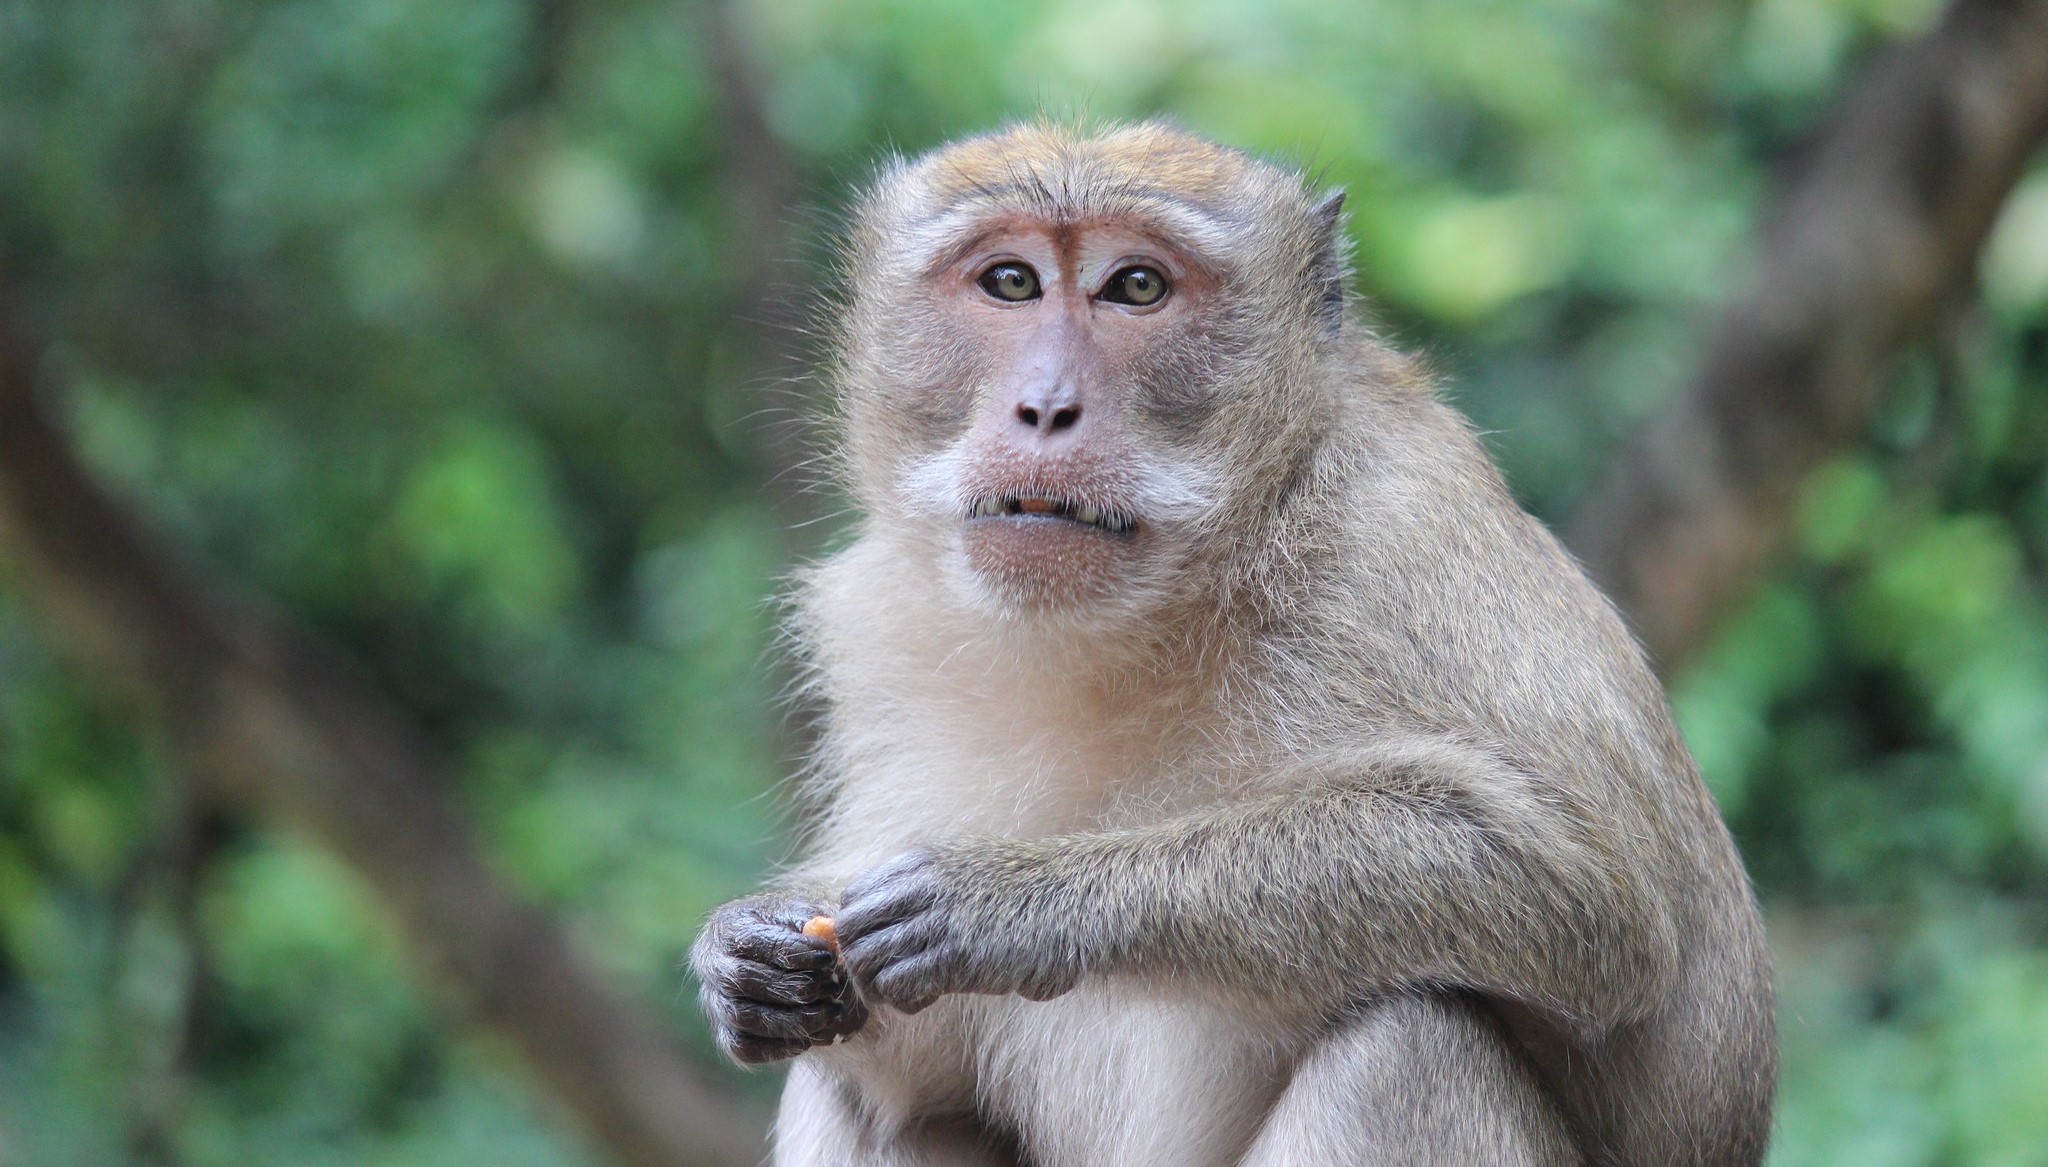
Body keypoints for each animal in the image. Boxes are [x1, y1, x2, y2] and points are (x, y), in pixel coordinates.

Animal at [692, 120, 1777, 1162]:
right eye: (1010, 281)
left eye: (1137, 286)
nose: (1045, 408)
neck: (1155, 613)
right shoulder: (878, 620)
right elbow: (910, 1071)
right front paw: (745, 951)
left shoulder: (1403, 529)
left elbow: (1586, 889)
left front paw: (1013, 900)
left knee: (1406, 1044)